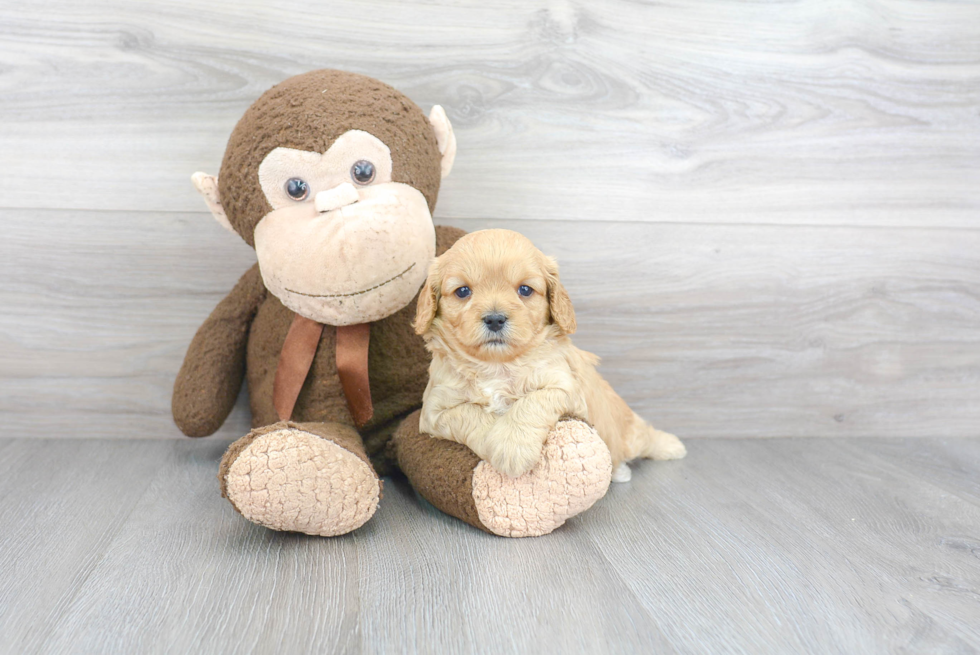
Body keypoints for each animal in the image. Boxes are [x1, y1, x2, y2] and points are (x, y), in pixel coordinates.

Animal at [412, 231, 680, 482]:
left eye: (525, 290)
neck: (498, 365)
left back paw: (671, 446)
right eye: (463, 291)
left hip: (629, 433)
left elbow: (532, 401)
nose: (495, 319)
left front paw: (512, 446)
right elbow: (469, 414)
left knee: (645, 437)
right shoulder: (434, 410)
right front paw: (497, 443)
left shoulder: (565, 387)